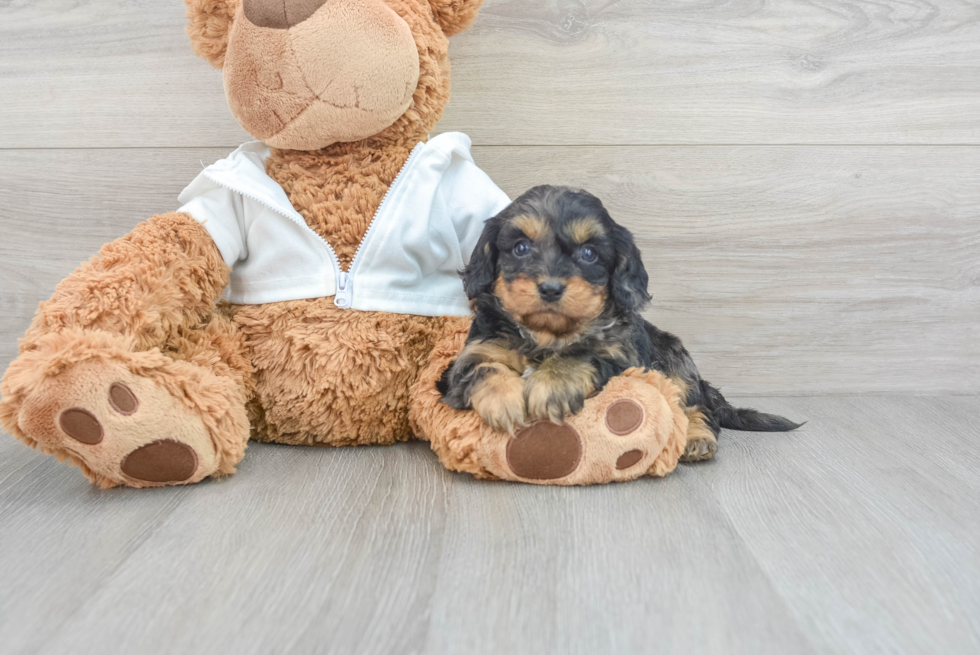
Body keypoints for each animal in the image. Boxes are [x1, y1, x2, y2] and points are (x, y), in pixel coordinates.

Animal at [440, 184, 800, 462]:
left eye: (588, 253)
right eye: (521, 247)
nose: (551, 288)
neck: (547, 336)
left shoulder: (621, 358)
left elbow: (581, 355)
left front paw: (551, 385)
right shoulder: (471, 356)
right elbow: (483, 368)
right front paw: (504, 400)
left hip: (676, 359)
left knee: (698, 407)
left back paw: (697, 437)